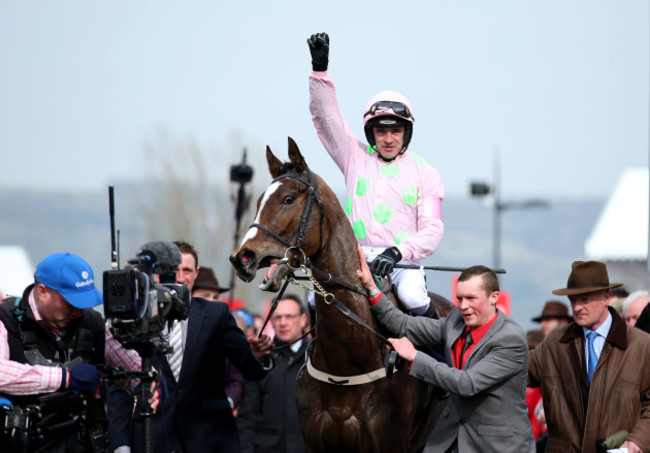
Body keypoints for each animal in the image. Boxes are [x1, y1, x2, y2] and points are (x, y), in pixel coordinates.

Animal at [229, 138, 450, 452]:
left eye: (288, 199)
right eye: (259, 201)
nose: (242, 257)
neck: (348, 361)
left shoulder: (390, 442)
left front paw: (389, 257)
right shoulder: (315, 441)